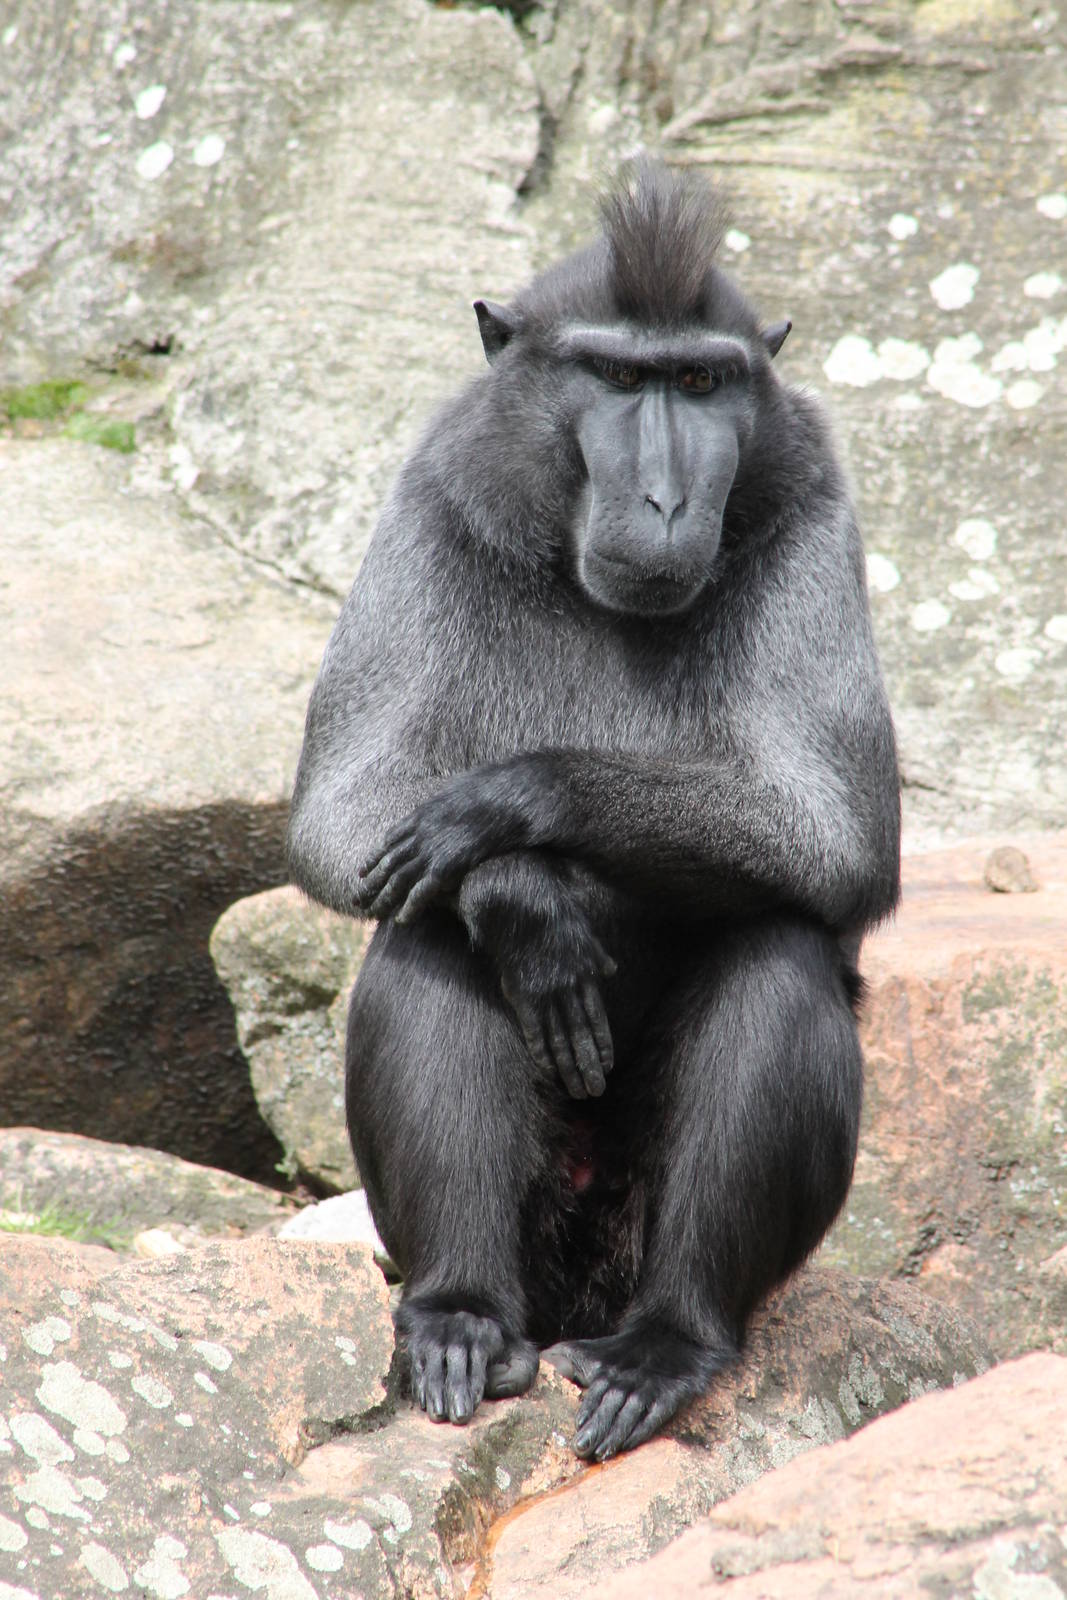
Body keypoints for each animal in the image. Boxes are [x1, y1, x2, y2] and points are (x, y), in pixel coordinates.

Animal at [286, 161, 901, 1461]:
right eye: (616, 378)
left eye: (700, 383)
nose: (665, 498)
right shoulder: (432, 491)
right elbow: (344, 807)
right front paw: (524, 891)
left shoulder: (817, 505)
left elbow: (835, 839)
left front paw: (506, 810)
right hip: (521, 1247)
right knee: (425, 923)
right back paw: (460, 1317)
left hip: (631, 1246)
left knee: (775, 943)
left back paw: (668, 1343)